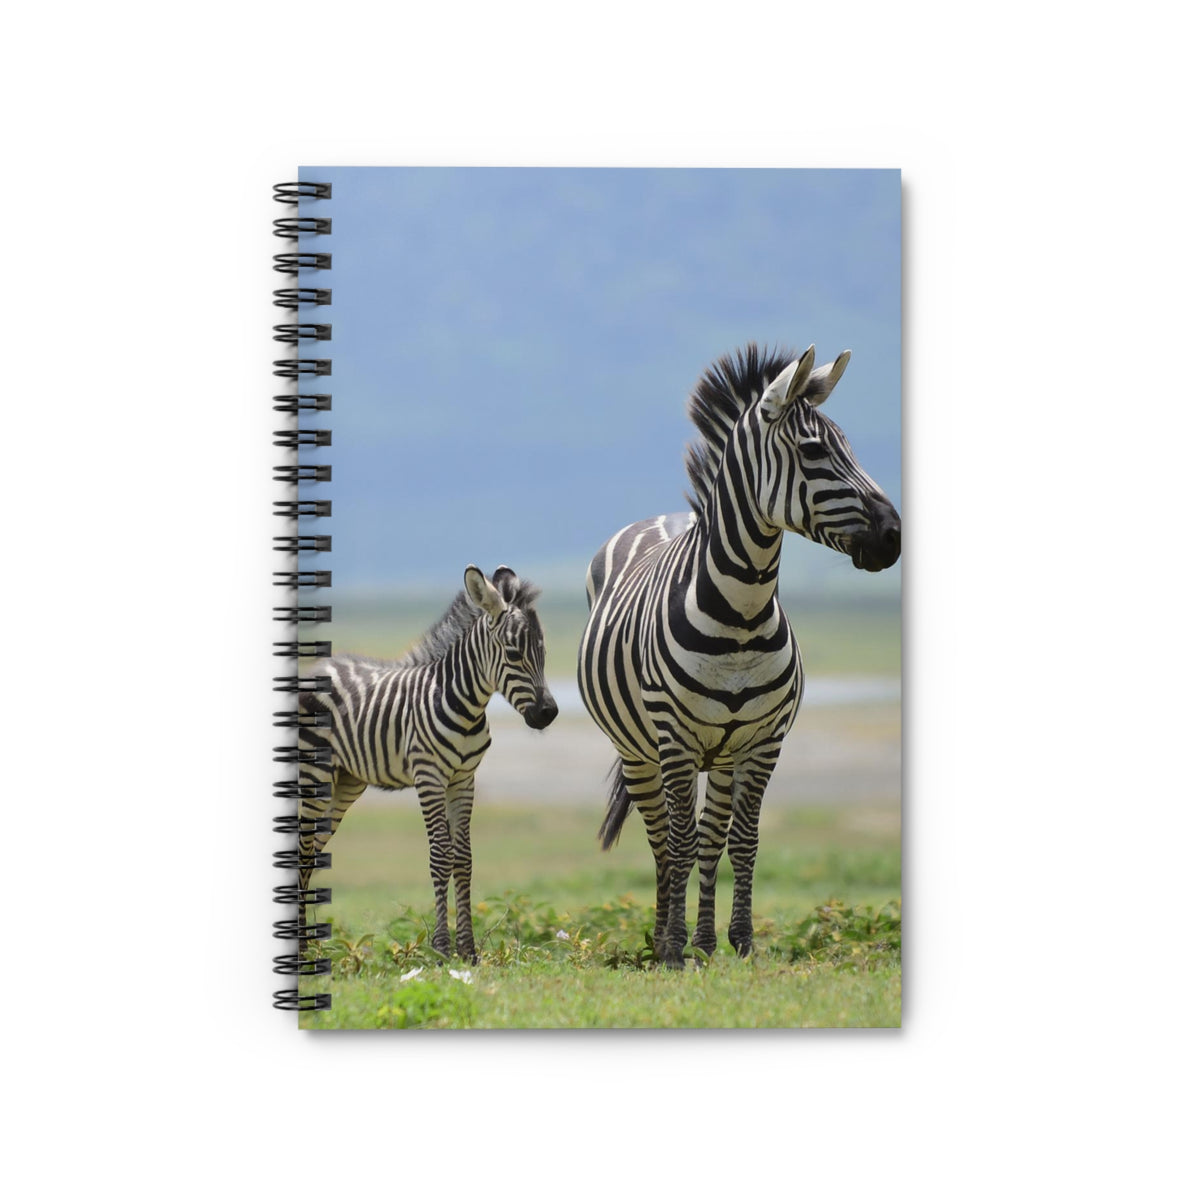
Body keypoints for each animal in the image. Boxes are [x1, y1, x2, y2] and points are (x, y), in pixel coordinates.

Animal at [295, 565, 558, 962]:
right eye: (513, 654)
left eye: (543, 651)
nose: (549, 713)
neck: (465, 704)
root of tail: (316, 668)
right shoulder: (429, 777)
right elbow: (440, 856)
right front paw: (442, 949)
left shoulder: (463, 780)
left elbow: (463, 858)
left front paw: (468, 950)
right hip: (313, 774)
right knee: (303, 848)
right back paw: (297, 945)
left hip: (346, 781)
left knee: (314, 848)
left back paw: (306, 943)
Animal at [577, 343, 900, 967]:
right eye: (814, 450)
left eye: (849, 445)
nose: (894, 536)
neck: (741, 616)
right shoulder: (676, 740)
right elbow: (678, 842)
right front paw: (672, 951)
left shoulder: (763, 741)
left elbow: (741, 840)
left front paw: (741, 942)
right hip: (638, 751)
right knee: (663, 840)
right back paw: (664, 939)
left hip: (722, 755)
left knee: (710, 835)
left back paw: (703, 943)